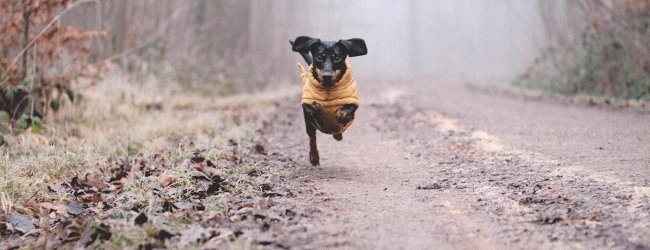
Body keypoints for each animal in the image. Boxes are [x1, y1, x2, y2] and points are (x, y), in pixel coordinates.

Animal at [288, 36, 364, 166]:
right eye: (319, 57)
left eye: (337, 58)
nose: (327, 76)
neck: (328, 88)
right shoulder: (306, 105)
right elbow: (312, 111)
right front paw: (317, 110)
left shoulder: (353, 101)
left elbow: (349, 108)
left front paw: (343, 114)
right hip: (309, 125)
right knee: (312, 137)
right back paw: (314, 156)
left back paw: (338, 134)